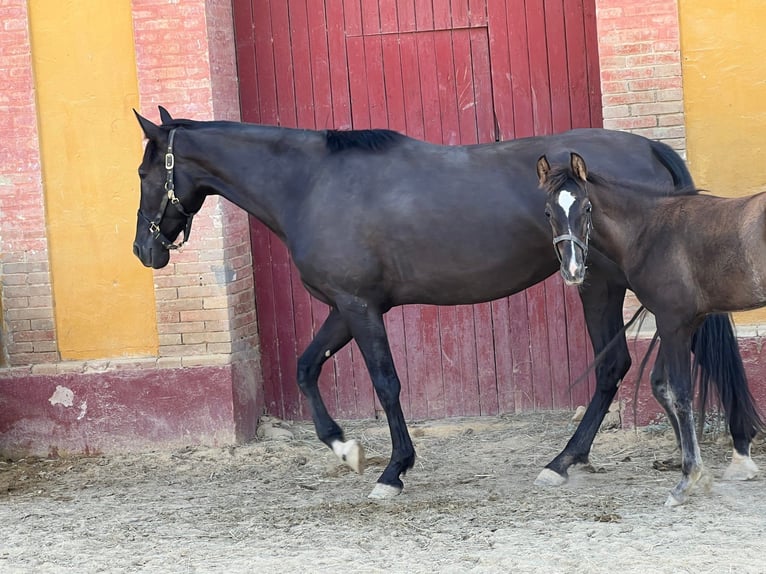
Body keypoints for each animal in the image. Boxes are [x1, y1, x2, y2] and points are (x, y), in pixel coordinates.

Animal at [540, 153, 766, 508]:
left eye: (587, 208)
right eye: (549, 212)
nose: (573, 270)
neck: (650, 231)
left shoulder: (672, 322)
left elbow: (681, 392)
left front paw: (687, 480)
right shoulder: (684, 321)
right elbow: (660, 385)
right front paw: (698, 471)